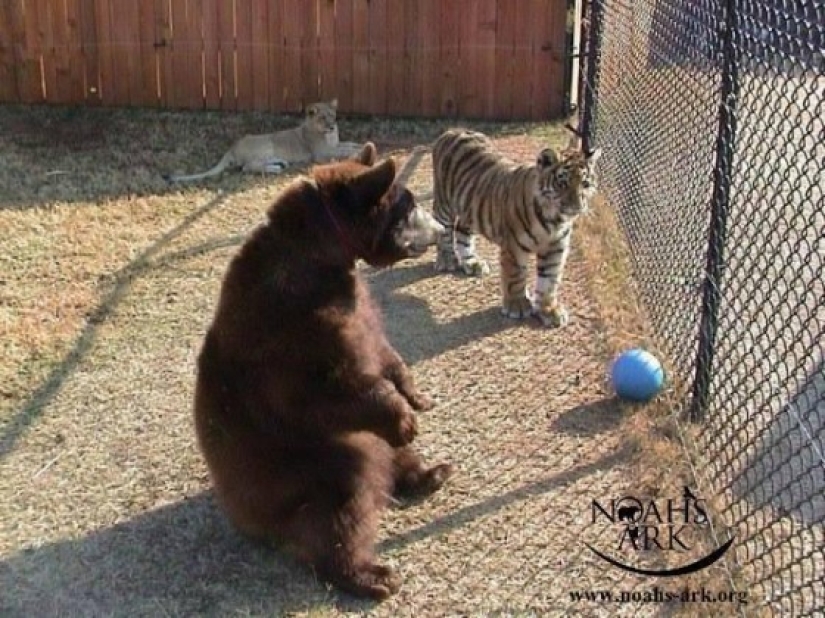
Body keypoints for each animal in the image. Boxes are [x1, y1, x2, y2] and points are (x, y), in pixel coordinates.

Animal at [163, 99, 363, 183]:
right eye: (322, 118)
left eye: (332, 115)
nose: (332, 126)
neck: (328, 134)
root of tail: (232, 147)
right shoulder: (322, 154)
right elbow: (345, 151)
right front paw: (359, 152)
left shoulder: (335, 144)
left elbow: (349, 144)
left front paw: (361, 145)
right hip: (267, 143)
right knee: (247, 167)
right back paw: (275, 169)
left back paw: (279, 163)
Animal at [193, 142, 453, 600]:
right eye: (408, 206)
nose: (441, 228)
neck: (322, 258)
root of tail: (248, 520)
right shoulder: (292, 333)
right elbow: (326, 393)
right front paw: (404, 418)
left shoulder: (354, 309)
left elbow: (383, 352)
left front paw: (416, 395)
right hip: (312, 471)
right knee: (340, 515)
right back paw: (371, 574)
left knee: (388, 458)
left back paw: (429, 472)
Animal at [431, 128, 601, 327]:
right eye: (562, 183)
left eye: (585, 184)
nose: (576, 207)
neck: (555, 220)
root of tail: (453, 130)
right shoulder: (514, 246)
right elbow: (515, 276)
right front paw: (517, 306)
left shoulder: (556, 248)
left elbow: (549, 280)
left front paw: (548, 310)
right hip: (444, 204)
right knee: (443, 229)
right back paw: (447, 260)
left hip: (470, 209)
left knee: (462, 233)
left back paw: (472, 263)